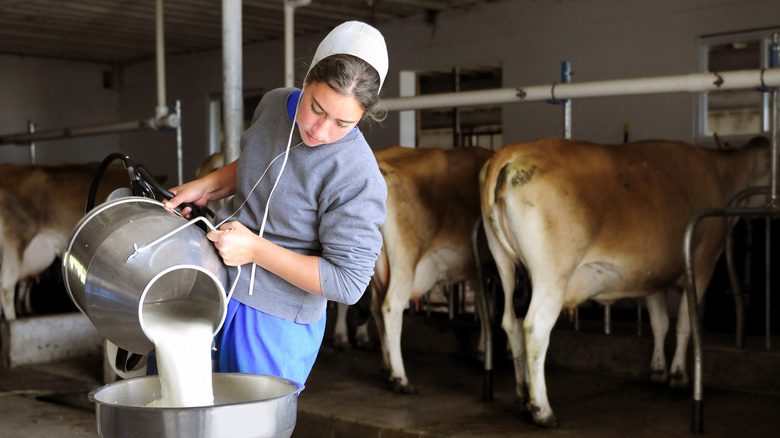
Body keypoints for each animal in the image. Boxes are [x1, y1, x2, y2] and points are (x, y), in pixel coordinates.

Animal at [482, 135, 768, 426]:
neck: (719, 172)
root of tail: (511, 152)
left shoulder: (652, 277)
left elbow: (659, 322)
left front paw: (658, 370)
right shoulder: (701, 264)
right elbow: (685, 323)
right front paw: (679, 376)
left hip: (505, 265)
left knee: (511, 322)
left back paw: (522, 396)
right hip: (552, 275)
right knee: (535, 327)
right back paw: (542, 410)